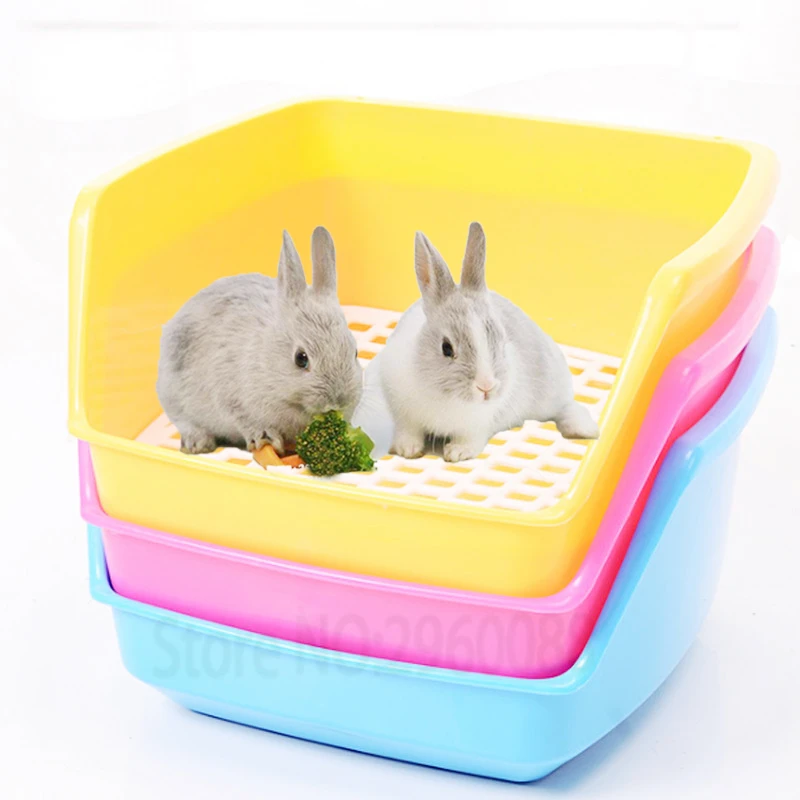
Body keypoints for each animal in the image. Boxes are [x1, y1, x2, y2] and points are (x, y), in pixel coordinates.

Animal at [157, 226, 363, 456]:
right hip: (172, 393)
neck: (266, 363)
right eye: (301, 358)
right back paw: (198, 444)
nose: (337, 402)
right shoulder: (230, 398)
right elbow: (246, 420)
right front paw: (266, 439)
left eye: (355, 353)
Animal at [378, 222, 599, 462]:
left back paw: (585, 430)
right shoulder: (404, 415)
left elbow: (470, 440)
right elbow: (408, 431)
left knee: (567, 407)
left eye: (502, 342)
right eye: (446, 348)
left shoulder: (477, 426)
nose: (486, 387)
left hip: (552, 392)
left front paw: (457, 453)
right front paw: (407, 450)